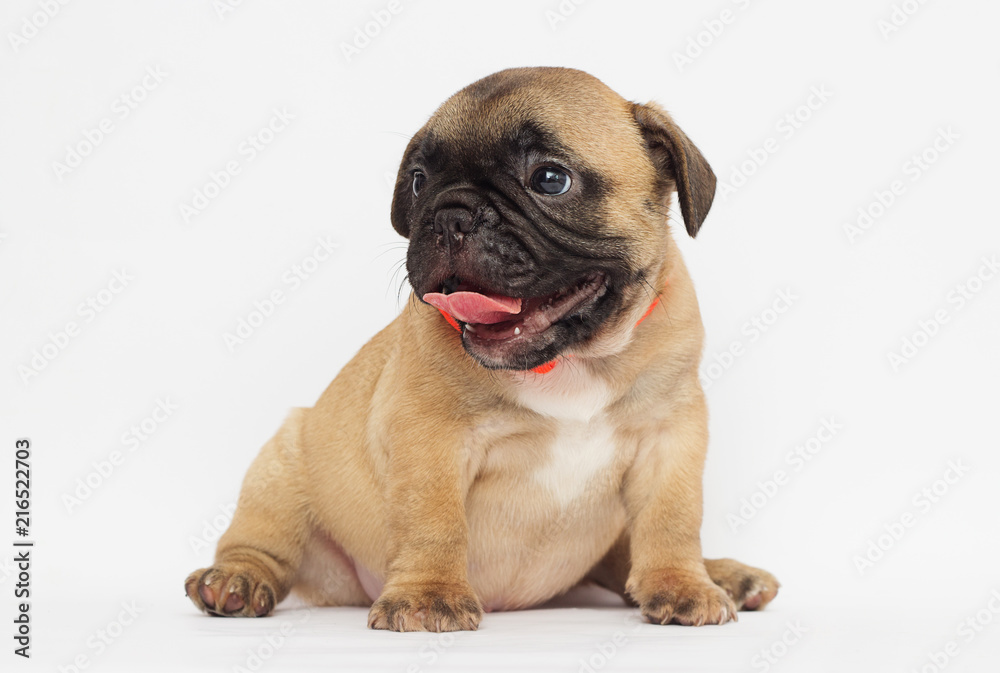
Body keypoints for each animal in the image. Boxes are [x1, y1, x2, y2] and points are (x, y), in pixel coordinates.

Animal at [188, 68, 780, 632]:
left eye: (551, 179)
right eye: (418, 182)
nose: (449, 214)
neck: (571, 360)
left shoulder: (669, 436)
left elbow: (671, 518)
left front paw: (682, 584)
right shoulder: (431, 438)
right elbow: (434, 521)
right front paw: (428, 595)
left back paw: (725, 575)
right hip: (283, 465)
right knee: (262, 542)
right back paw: (234, 581)